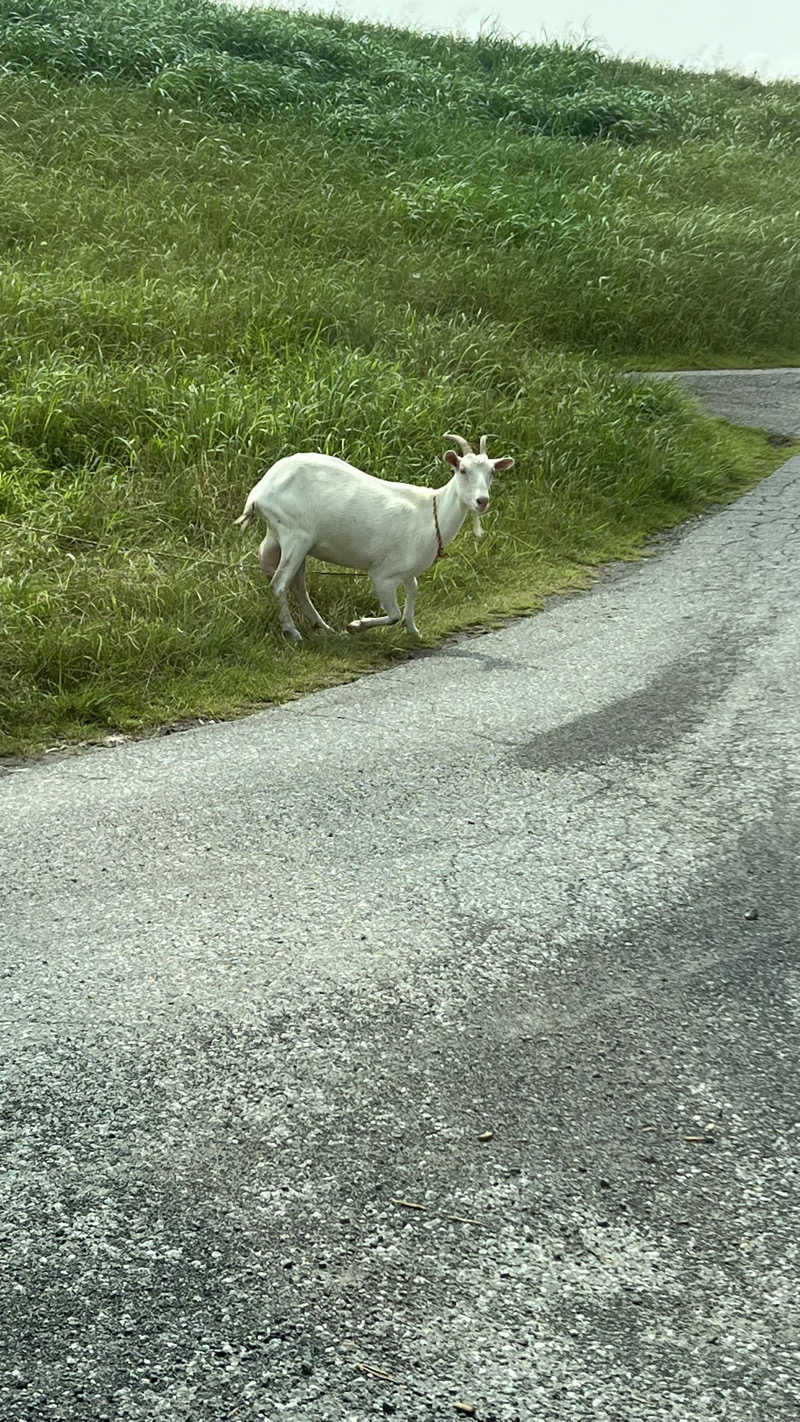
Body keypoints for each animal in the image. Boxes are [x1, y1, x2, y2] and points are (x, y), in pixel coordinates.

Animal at [234, 426, 517, 639]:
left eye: (492, 472)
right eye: (463, 470)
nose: (482, 501)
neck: (431, 513)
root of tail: (258, 493)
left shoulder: (407, 571)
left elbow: (414, 591)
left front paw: (413, 630)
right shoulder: (383, 575)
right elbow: (393, 615)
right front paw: (357, 625)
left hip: (280, 537)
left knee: (295, 584)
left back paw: (322, 626)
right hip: (296, 536)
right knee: (280, 583)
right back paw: (293, 632)